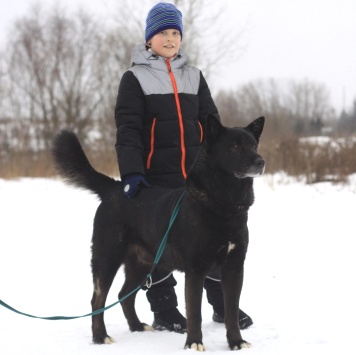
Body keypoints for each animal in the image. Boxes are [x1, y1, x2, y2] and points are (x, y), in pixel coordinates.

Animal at [52, 115, 264, 352]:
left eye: (253, 145)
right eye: (235, 146)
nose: (260, 162)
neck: (225, 205)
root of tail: (115, 189)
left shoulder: (234, 268)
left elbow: (231, 312)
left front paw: (236, 342)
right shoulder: (196, 270)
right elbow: (195, 313)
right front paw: (194, 343)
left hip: (145, 265)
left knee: (124, 296)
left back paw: (136, 327)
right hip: (107, 258)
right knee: (97, 300)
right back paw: (100, 337)